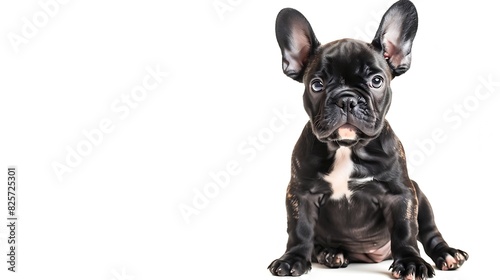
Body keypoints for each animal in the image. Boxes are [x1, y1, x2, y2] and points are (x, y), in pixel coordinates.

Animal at [270, 1, 468, 278]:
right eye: (316, 85)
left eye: (377, 81)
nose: (346, 99)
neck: (346, 147)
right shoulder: (301, 194)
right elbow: (300, 229)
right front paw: (293, 259)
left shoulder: (401, 194)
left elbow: (405, 230)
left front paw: (411, 262)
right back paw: (331, 254)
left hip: (419, 194)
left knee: (429, 231)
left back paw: (447, 254)